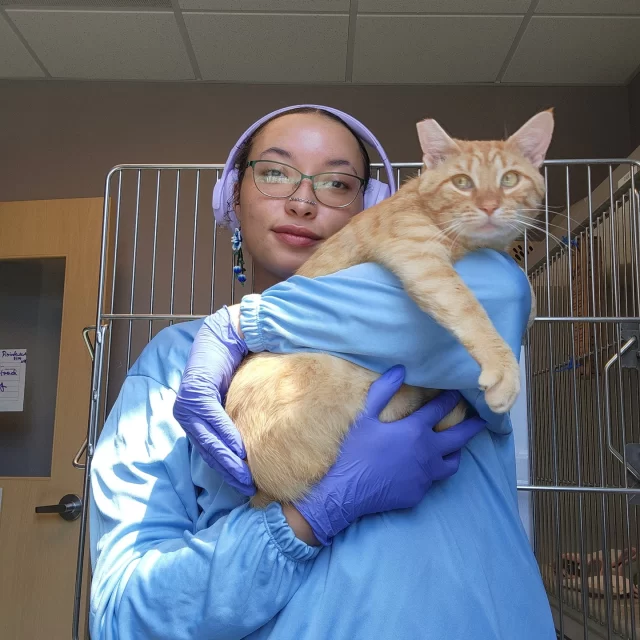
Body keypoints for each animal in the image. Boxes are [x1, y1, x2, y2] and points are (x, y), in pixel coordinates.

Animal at [224, 111, 552, 510]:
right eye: (462, 182)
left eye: (509, 179)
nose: (489, 206)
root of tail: (261, 488)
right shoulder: (419, 256)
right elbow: (466, 306)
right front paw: (503, 368)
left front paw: (530, 300)